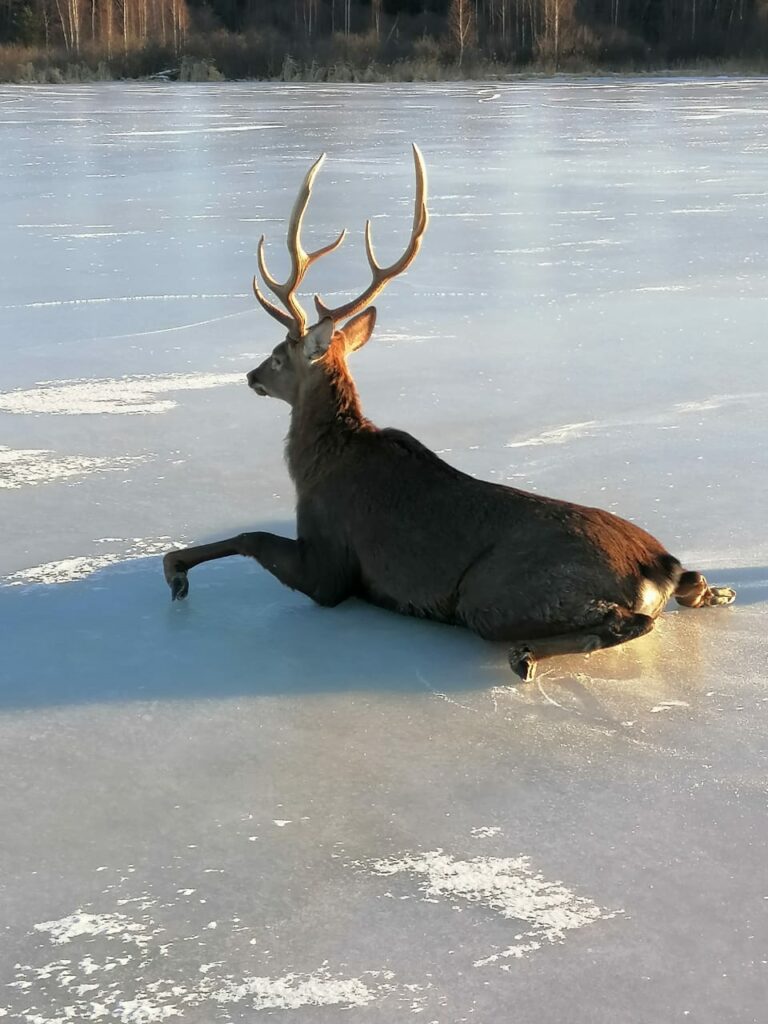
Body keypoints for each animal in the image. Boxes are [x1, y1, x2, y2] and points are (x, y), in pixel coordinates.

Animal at [163, 146, 741, 679]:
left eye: (279, 354)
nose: (251, 376)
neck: (318, 466)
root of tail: (657, 565)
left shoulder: (331, 565)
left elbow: (251, 537)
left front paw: (175, 570)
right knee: (692, 585)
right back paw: (717, 592)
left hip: (491, 592)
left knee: (632, 621)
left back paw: (526, 656)